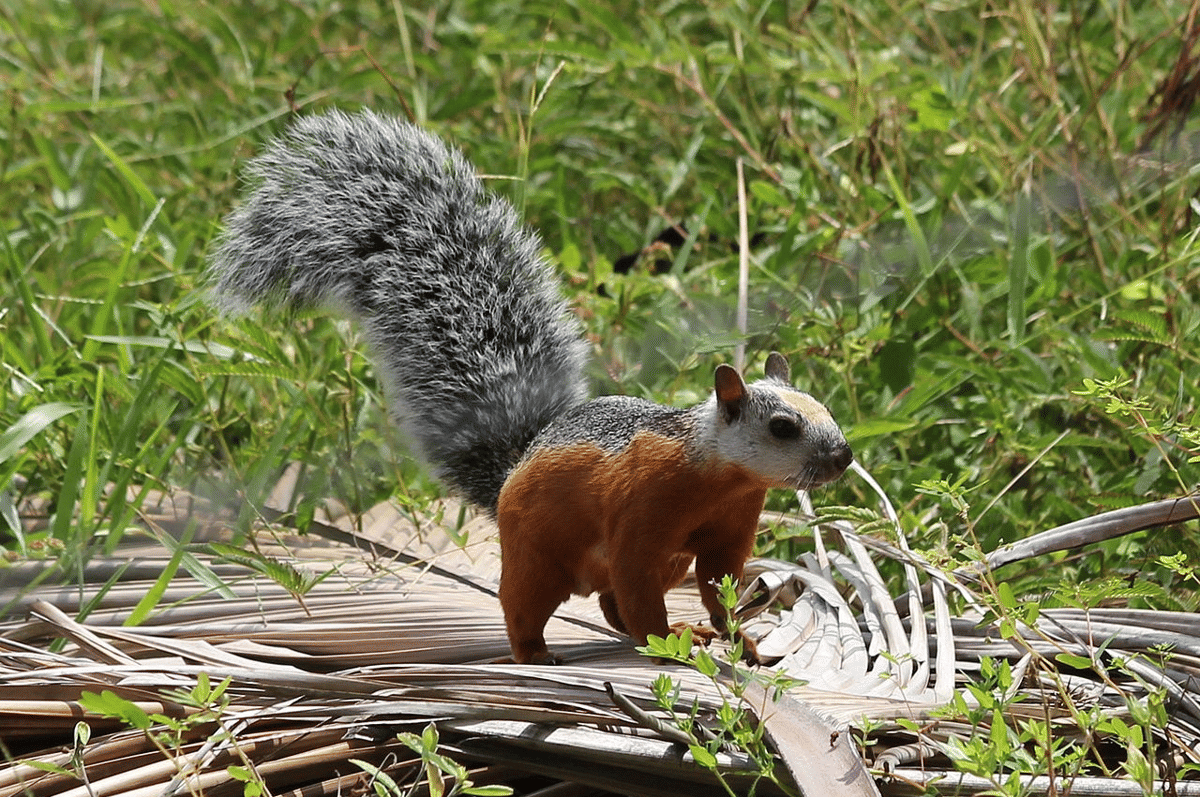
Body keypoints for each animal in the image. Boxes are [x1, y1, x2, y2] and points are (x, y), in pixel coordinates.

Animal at [208, 109, 853, 665]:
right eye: (782, 427)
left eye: (826, 408)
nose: (843, 456)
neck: (716, 476)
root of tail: (511, 469)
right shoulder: (641, 513)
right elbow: (639, 588)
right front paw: (670, 642)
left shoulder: (729, 527)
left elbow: (718, 587)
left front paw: (739, 641)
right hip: (537, 556)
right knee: (532, 604)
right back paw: (536, 655)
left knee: (609, 606)